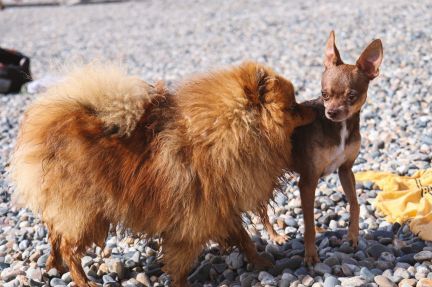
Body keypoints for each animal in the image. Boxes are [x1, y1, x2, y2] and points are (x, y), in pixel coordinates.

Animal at [10, 62, 314, 286]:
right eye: (292, 106)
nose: (313, 105)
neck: (228, 132)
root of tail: (50, 121)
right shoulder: (196, 217)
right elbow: (181, 261)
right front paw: (182, 283)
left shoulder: (220, 207)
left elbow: (244, 238)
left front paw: (261, 262)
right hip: (86, 213)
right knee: (69, 247)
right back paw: (82, 280)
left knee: (55, 235)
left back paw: (53, 265)